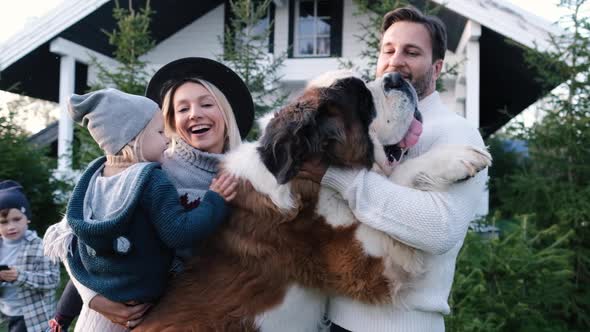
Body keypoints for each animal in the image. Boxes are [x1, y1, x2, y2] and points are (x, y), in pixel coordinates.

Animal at [136, 71, 492, 330]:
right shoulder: (365, 259)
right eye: (364, 101)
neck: (304, 175)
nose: (396, 77)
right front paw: (457, 158)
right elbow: (400, 177)